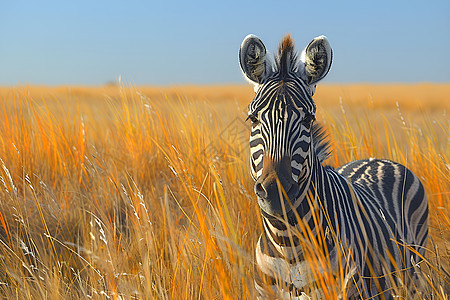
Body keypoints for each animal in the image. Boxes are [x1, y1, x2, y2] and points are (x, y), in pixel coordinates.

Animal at [237, 34, 428, 298]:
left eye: (309, 120)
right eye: (253, 119)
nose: (276, 193)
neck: (288, 244)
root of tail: (378, 159)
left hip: (414, 271)